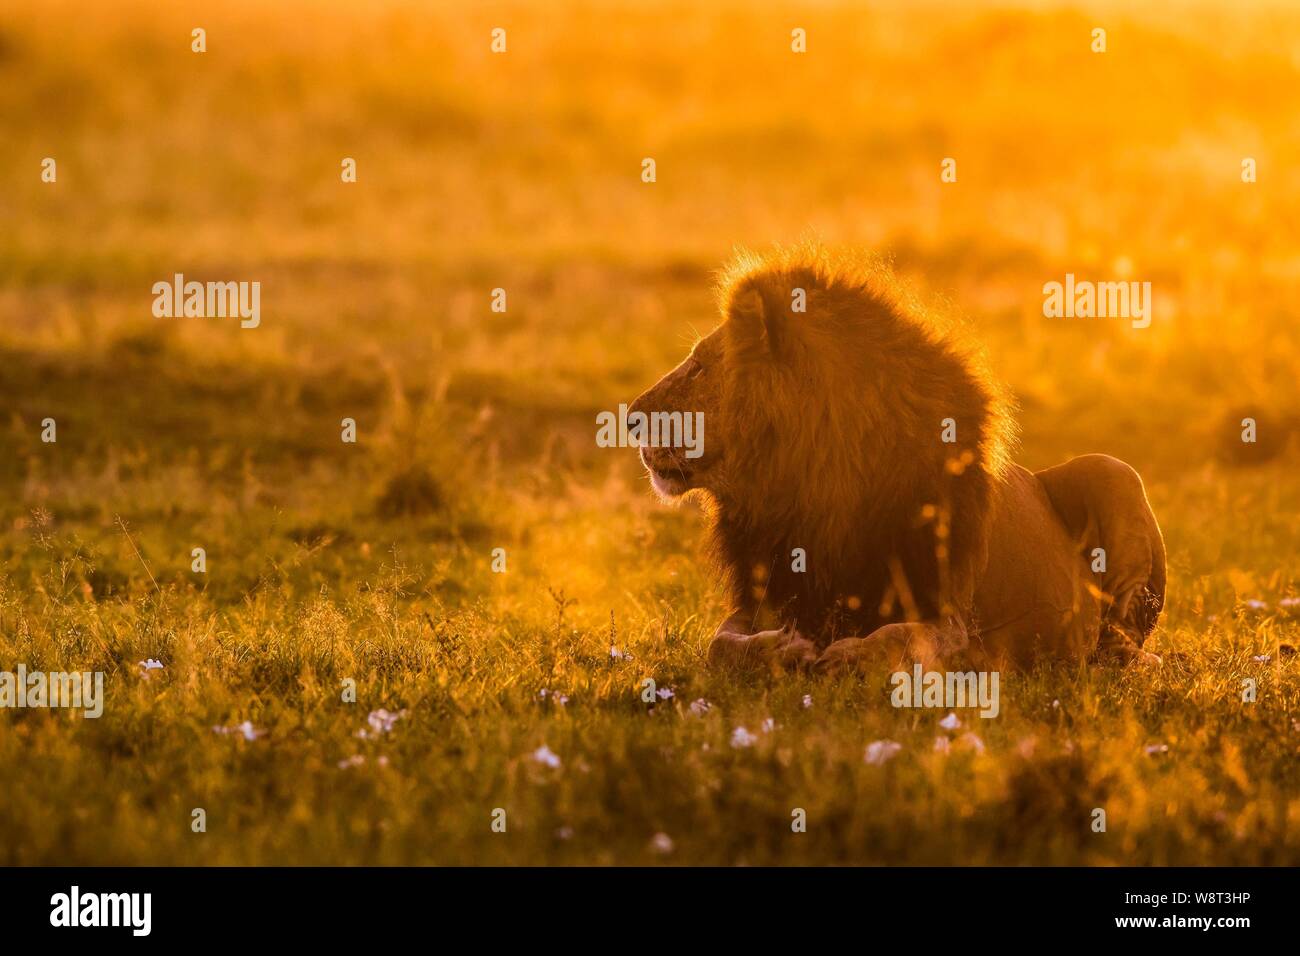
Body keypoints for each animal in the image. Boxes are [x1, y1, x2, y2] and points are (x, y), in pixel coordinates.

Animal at [624, 248, 1164, 681]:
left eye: (698, 366)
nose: (629, 419)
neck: (815, 488)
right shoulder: (764, 593)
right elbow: (721, 645)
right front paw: (784, 648)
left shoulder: (952, 615)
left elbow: (902, 637)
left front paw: (847, 656)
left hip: (1113, 470)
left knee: (1125, 636)